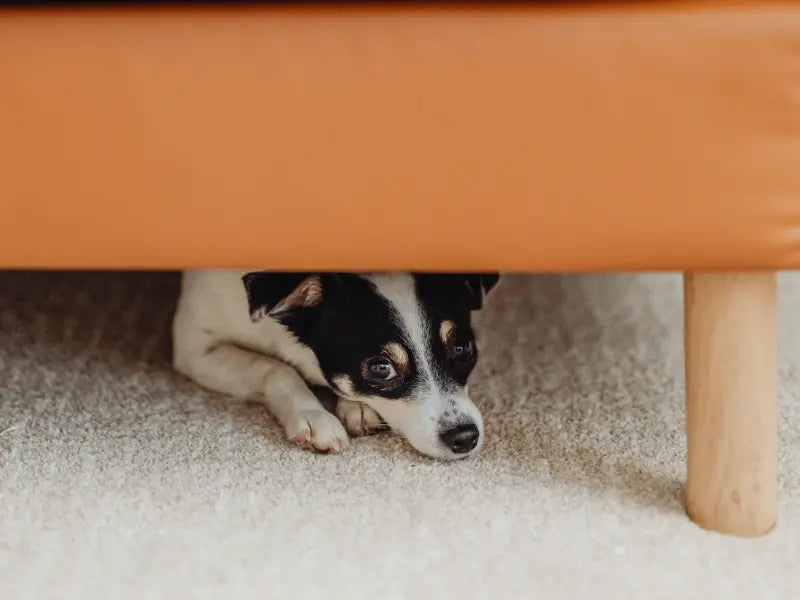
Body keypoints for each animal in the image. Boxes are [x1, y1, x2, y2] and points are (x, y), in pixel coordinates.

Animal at [174, 270, 496, 460]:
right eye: (381, 368)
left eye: (462, 349)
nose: (465, 437)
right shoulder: (195, 348)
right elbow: (276, 368)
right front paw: (313, 416)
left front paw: (357, 406)